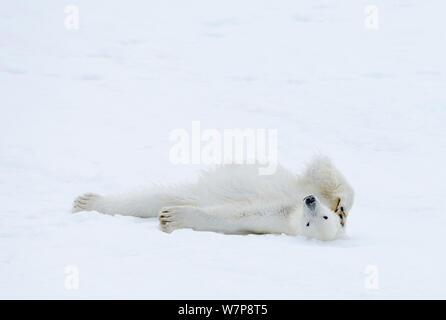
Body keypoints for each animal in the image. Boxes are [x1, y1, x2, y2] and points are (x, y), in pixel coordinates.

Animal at [71, 156, 354, 241]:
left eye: (317, 220)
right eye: (324, 215)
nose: (309, 201)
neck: (291, 211)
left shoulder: (269, 220)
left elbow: (232, 216)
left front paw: (170, 217)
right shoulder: (295, 197)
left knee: (159, 197)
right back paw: (85, 201)